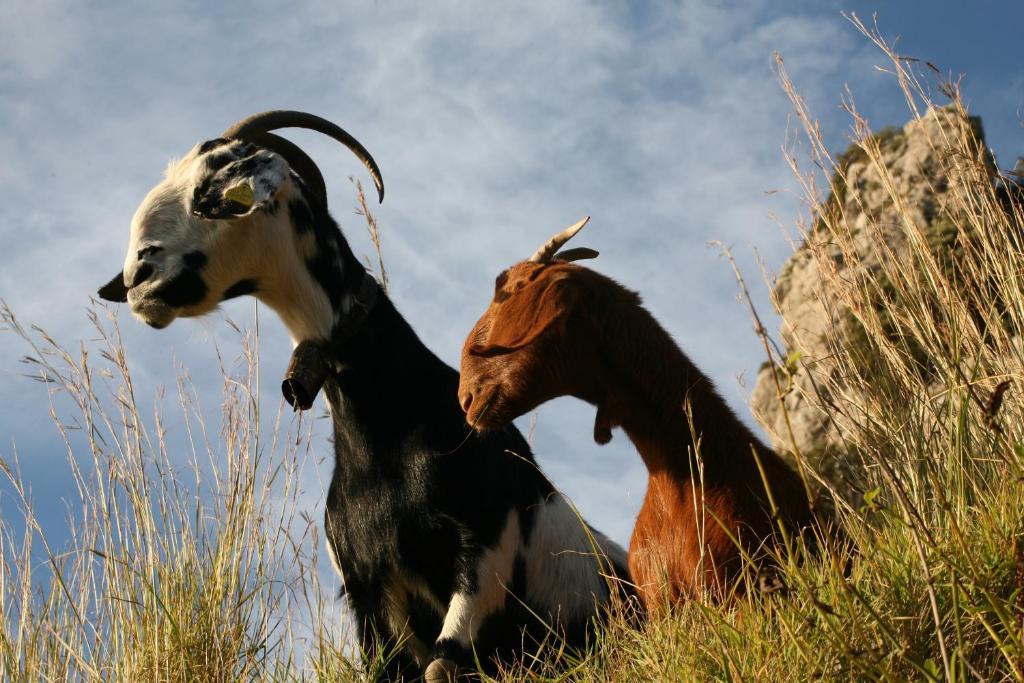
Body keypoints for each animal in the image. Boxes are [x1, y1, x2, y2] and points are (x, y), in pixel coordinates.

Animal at [96, 111, 626, 679]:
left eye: (215, 191)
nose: (138, 279)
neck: (388, 436)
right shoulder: (367, 591)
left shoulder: (485, 548)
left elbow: (442, 664)